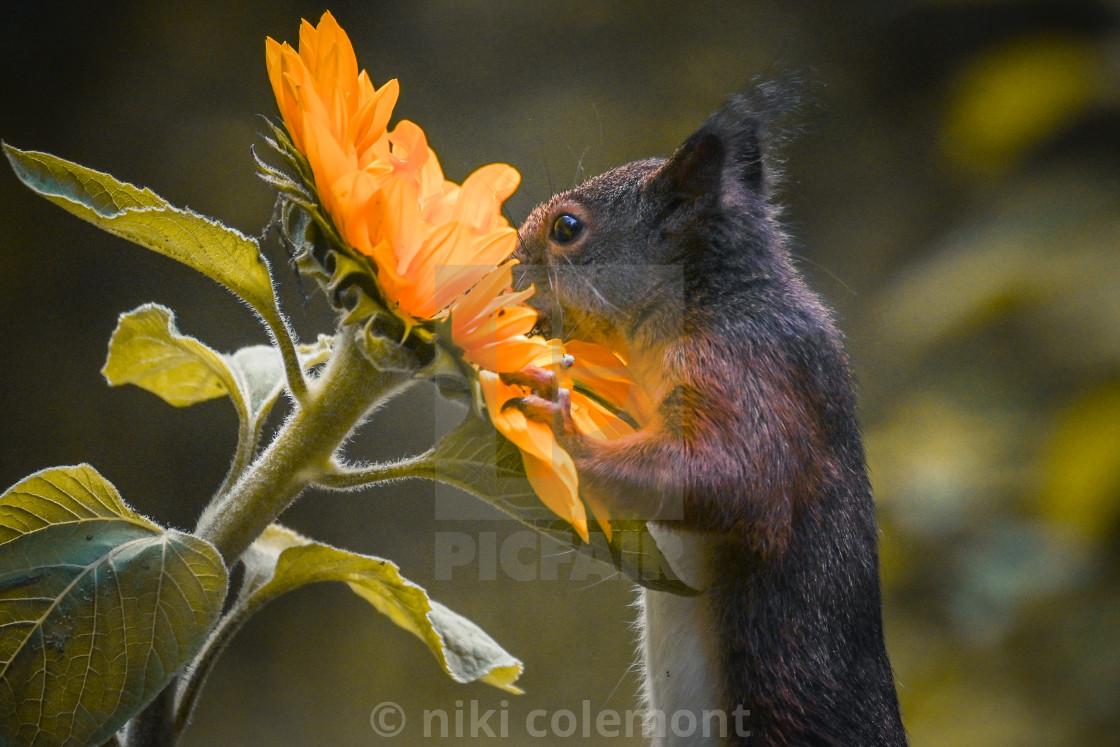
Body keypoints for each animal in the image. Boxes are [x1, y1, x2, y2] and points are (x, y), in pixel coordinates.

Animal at [508, 89, 909, 747]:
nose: (508, 265)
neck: (710, 296)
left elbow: (736, 477)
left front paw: (568, 432)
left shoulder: (746, 370)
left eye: (567, 228)